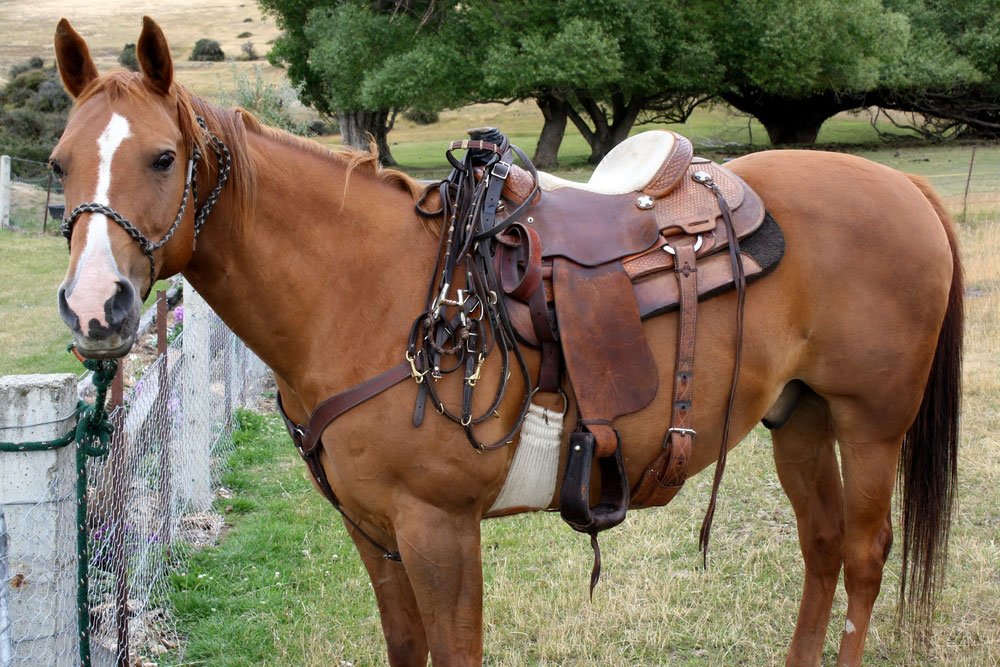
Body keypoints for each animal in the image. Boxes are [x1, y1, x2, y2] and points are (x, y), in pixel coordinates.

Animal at [51, 17, 962, 666]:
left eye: (163, 157)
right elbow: (406, 647)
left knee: (865, 554)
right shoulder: (373, 532)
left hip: (870, 423)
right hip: (799, 418)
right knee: (823, 547)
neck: (361, 289)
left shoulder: (439, 529)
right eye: (60, 165)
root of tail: (906, 186)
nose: (95, 308)